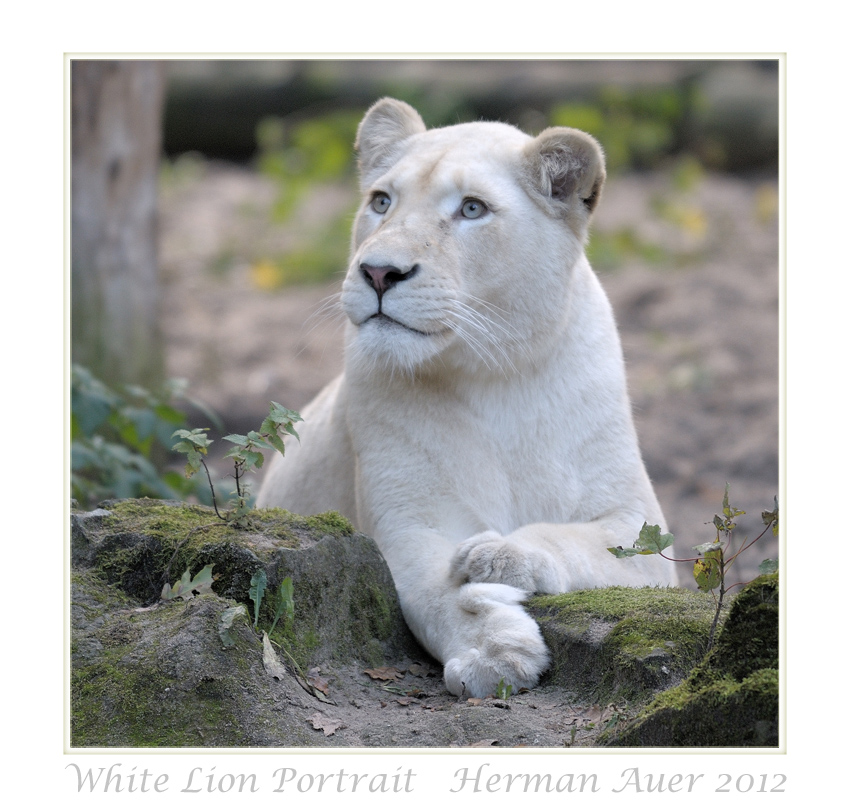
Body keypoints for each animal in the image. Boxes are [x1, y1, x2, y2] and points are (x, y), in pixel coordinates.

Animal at [255, 98, 672, 696]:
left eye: (472, 209)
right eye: (382, 201)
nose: (378, 271)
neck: (498, 377)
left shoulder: (640, 529)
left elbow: (572, 540)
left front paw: (495, 555)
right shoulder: (409, 518)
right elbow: (433, 593)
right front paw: (494, 653)